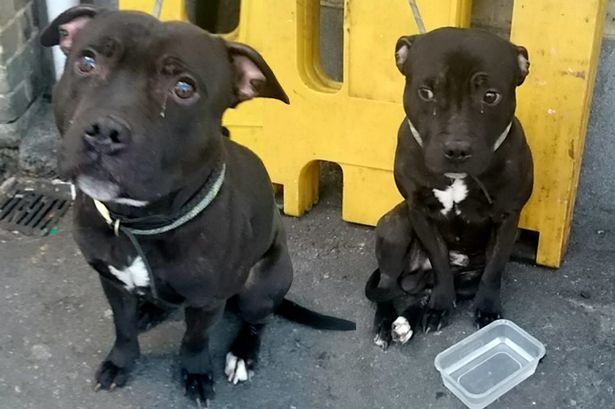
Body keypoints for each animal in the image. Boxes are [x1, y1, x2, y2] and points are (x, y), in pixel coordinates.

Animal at [41, 6, 354, 404]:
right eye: (86, 62)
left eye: (184, 88)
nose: (104, 132)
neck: (139, 221)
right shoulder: (112, 282)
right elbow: (123, 327)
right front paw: (121, 361)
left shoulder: (207, 301)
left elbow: (195, 339)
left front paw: (195, 373)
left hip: (261, 283)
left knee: (257, 320)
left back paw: (243, 353)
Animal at [366, 27, 536, 348]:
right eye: (426, 92)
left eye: (490, 96)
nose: (456, 149)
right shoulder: (419, 212)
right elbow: (440, 263)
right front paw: (441, 305)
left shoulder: (508, 218)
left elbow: (494, 271)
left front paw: (487, 309)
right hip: (395, 227)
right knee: (389, 286)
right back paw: (387, 323)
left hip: (466, 276)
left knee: (430, 290)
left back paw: (408, 320)